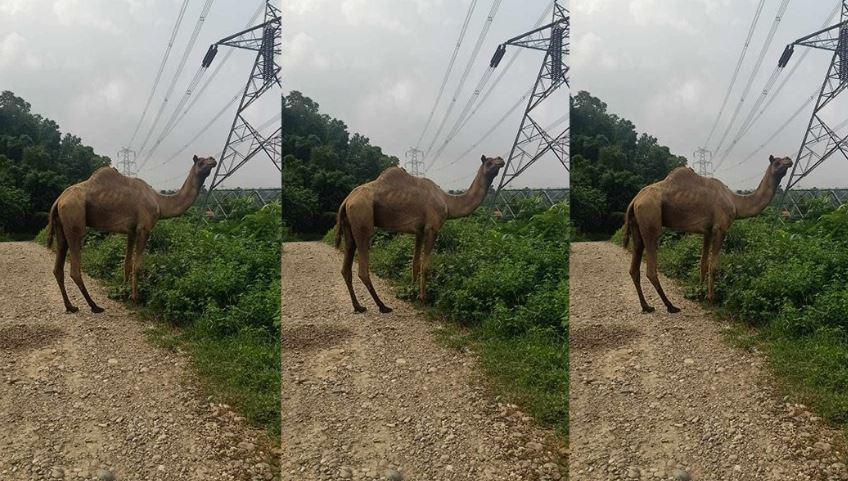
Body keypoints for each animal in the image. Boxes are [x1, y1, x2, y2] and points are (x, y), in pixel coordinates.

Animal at [45, 153, 219, 312]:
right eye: (201, 162)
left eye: (208, 158)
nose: (213, 160)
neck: (159, 202)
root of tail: (58, 200)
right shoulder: (144, 228)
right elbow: (137, 265)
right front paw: (135, 298)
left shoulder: (131, 231)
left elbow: (127, 264)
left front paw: (122, 292)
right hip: (74, 216)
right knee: (74, 268)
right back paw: (94, 306)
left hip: (61, 224)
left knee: (58, 266)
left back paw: (70, 306)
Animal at [332, 154, 504, 312]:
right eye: (489, 162)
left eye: (497, 158)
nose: (501, 160)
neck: (447, 202)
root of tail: (346, 200)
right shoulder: (432, 228)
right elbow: (425, 265)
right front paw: (423, 298)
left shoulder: (419, 231)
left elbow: (415, 263)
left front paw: (411, 292)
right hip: (362, 216)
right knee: (362, 268)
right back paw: (383, 306)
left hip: (349, 224)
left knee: (346, 265)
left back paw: (359, 306)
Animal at [620, 152, 792, 314]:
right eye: (777, 162)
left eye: (784, 159)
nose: (789, 160)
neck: (735, 202)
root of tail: (634, 200)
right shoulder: (720, 228)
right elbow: (713, 265)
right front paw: (711, 298)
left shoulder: (707, 231)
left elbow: (703, 263)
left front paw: (699, 292)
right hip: (650, 216)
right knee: (651, 268)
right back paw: (671, 306)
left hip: (637, 224)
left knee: (634, 265)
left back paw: (647, 306)